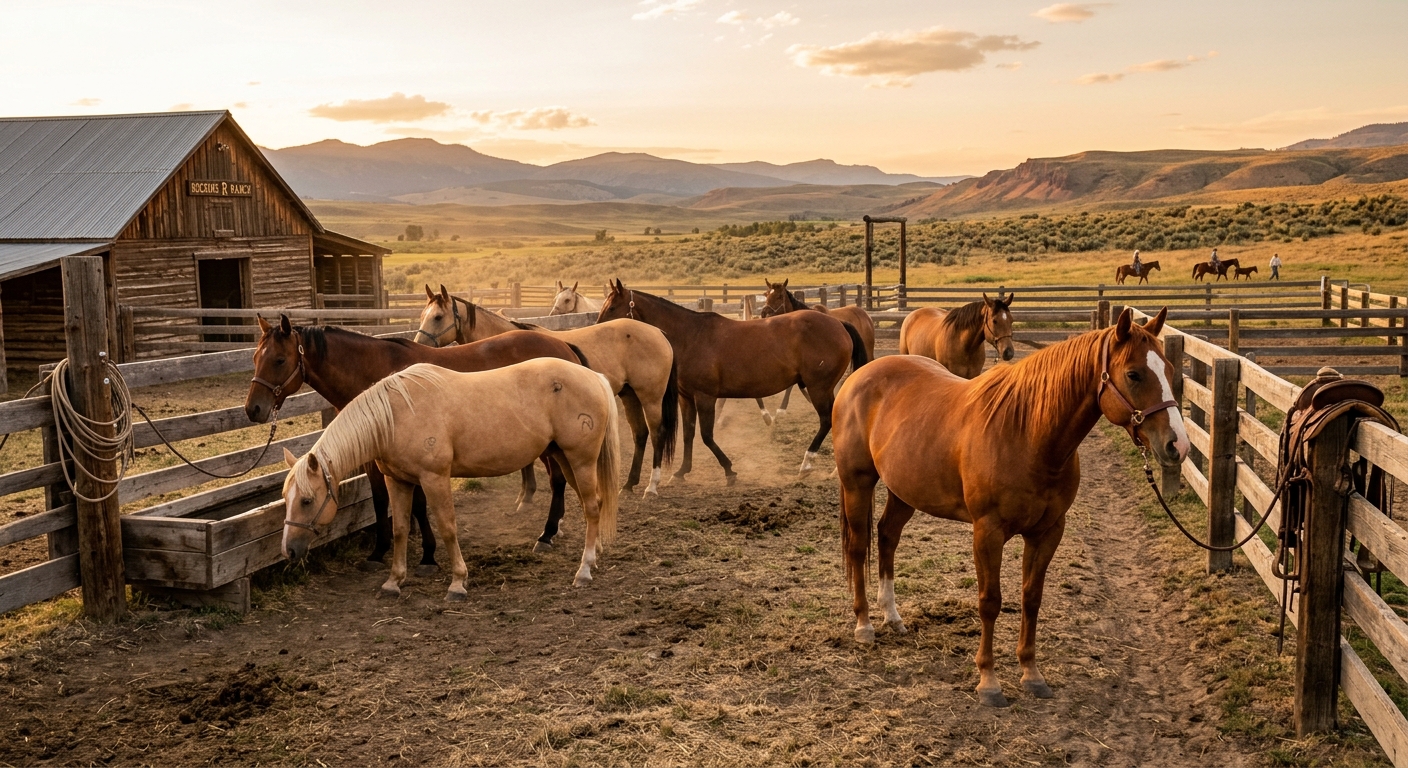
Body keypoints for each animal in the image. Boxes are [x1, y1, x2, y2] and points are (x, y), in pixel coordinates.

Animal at [245, 315, 588, 563]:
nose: (253, 409)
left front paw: (428, 554)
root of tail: (564, 347)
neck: (375, 375)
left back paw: (547, 534)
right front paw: (379, 551)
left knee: (559, 480)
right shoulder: (374, 457)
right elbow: (381, 499)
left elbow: (420, 505)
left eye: (279, 359)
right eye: (254, 358)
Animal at [280, 359, 620, 599]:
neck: (397, 415)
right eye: (286, 499)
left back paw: (584, 570)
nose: (289, 551)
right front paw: (393, 581)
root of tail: (595, 377)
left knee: (592, 508)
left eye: (307, 500)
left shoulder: (435, 479)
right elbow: (400, 529)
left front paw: (457, 582)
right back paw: (594, 555)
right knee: (592, 503)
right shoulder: (398, 481)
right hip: (565, 458)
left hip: (581, 459)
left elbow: (447, 528)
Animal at [417, 285, 678, 497]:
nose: (419, 345)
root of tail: (658, 332)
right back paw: (629, 484)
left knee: (657, 433)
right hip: (630, 394)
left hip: (651, 397)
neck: (500, 345)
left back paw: (651, 486)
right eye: (422, 316)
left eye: (438, 317)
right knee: (640, 434)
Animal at [832, 307, 1188, 708]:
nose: (1178, 445)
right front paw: (988, 682)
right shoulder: (987, 532)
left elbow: (1031, 598)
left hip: (904, 491)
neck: (1027, 432)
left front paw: (1031, 674)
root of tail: (860, 376)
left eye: (1170, 371)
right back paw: (864, 625)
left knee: (887, 536)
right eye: (1133, 374)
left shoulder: (1048, 532)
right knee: (858, 546)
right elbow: (990, 601)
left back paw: (892, 616)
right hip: (857, 484)